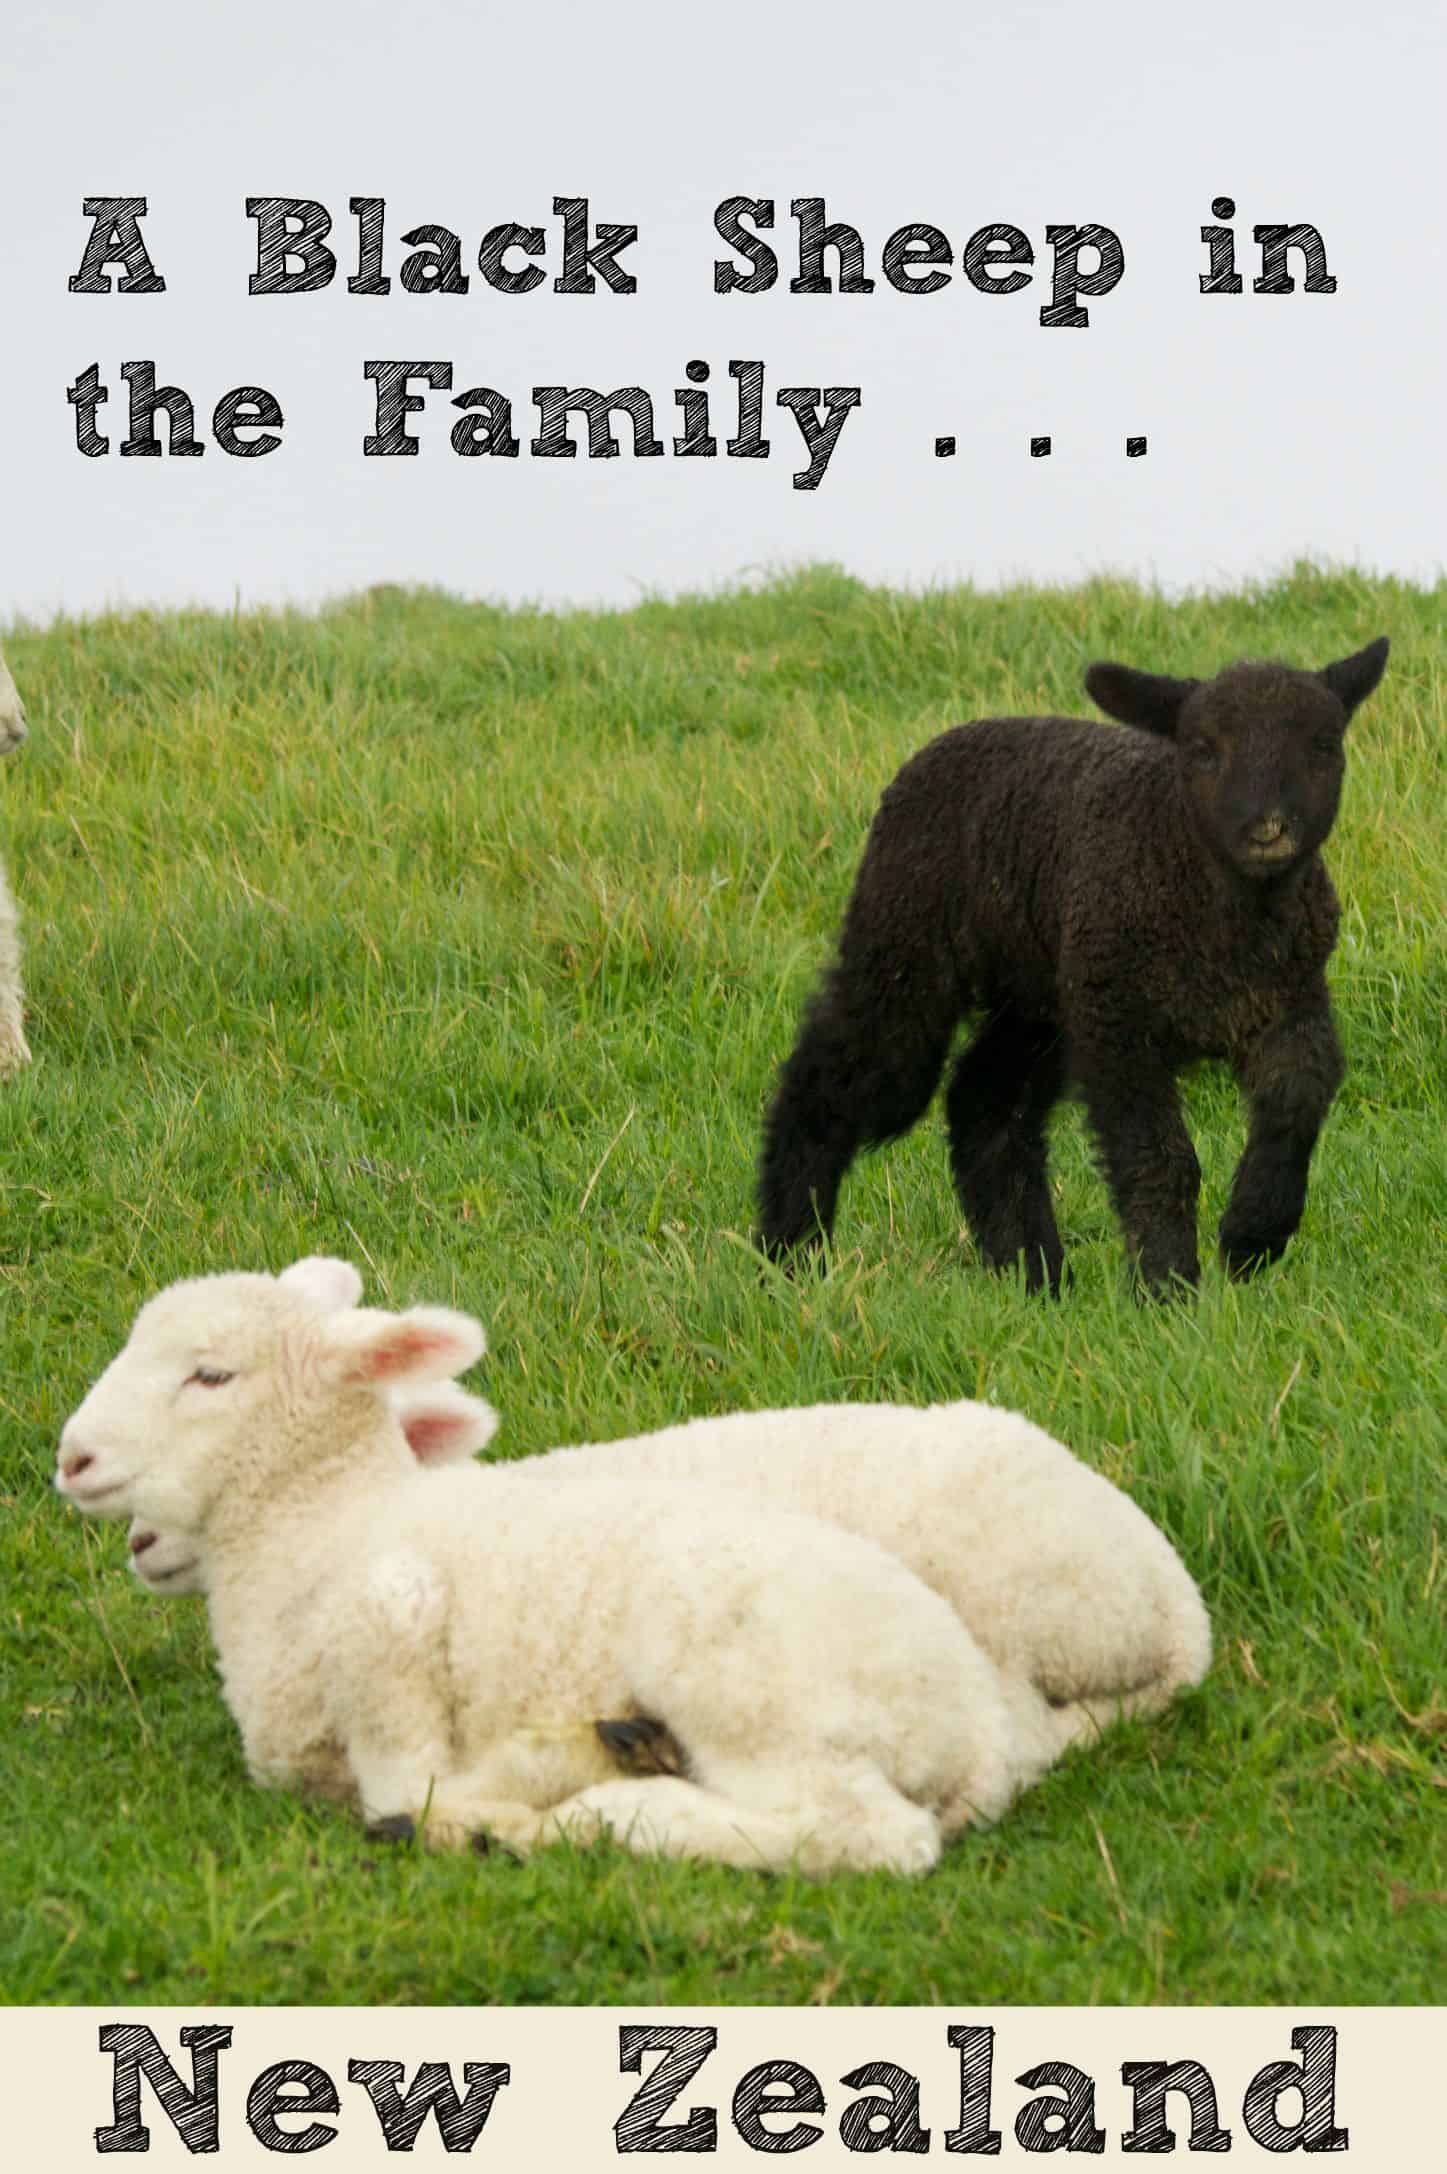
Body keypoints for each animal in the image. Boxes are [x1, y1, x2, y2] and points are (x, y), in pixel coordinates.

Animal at [55, 1257, 1186, 1876]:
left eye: (211, 1374)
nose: (73, 1459)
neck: (329, 1518)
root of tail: (1183, 1614)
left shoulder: (389, 1629)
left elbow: (408, 1780)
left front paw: (484, 1806)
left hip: (770, 1683)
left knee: (863, 1833)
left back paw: (608, 1809)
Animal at [757, 638, 1390, 1297]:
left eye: (1324, 745)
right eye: (1202, 749)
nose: (1268, 827)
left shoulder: (1291, 1005)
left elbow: (1296, 1103)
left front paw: (1253, 1236)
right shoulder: (1118, 1026)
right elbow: (1158, 1156)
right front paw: (1167, 1284)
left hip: (1039, 997)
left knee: (985, 1102)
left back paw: (1032, 1271)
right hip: (905, 949)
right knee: (833, 1079)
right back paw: (789, 1251)